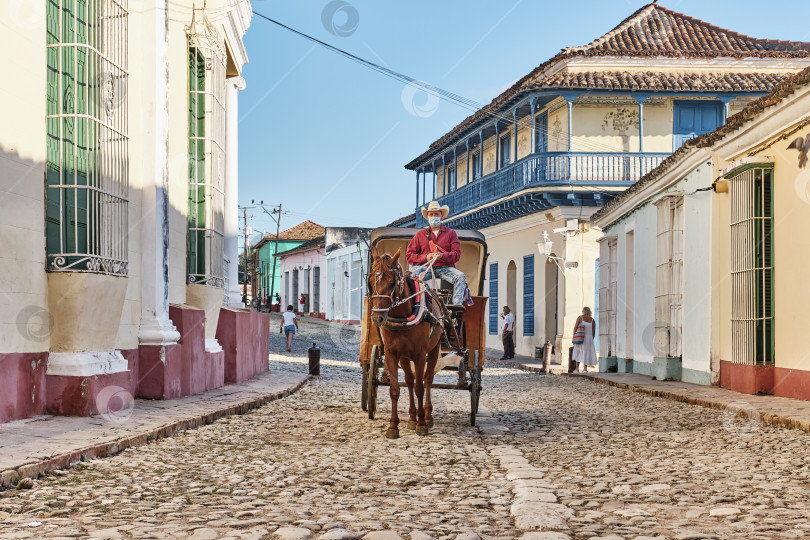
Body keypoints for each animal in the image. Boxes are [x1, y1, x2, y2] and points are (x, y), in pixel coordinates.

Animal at [368, 247, 442, 436]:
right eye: (370, 280)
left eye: (392, 282)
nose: (377, 318)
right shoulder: (392, 354)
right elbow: (395, 389)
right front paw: (393, 426)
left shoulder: (420, 355)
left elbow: (420, 388)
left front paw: (422, 424)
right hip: (404, 356)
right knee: (409, 380)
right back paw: (411, 417)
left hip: (433, 350)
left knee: (427, 380)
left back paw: (427, 416)